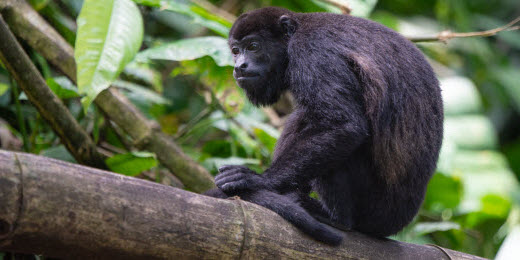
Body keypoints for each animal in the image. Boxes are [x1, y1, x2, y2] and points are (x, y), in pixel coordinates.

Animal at [205, 6, 444, 246]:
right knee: (301, 117)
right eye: (235, 51)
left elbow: (343, 125)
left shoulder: (312, 51)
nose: (239, 66)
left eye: (254, 46)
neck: (295, 32)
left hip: (374, 208)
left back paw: (334, 217)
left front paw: (259, 181)